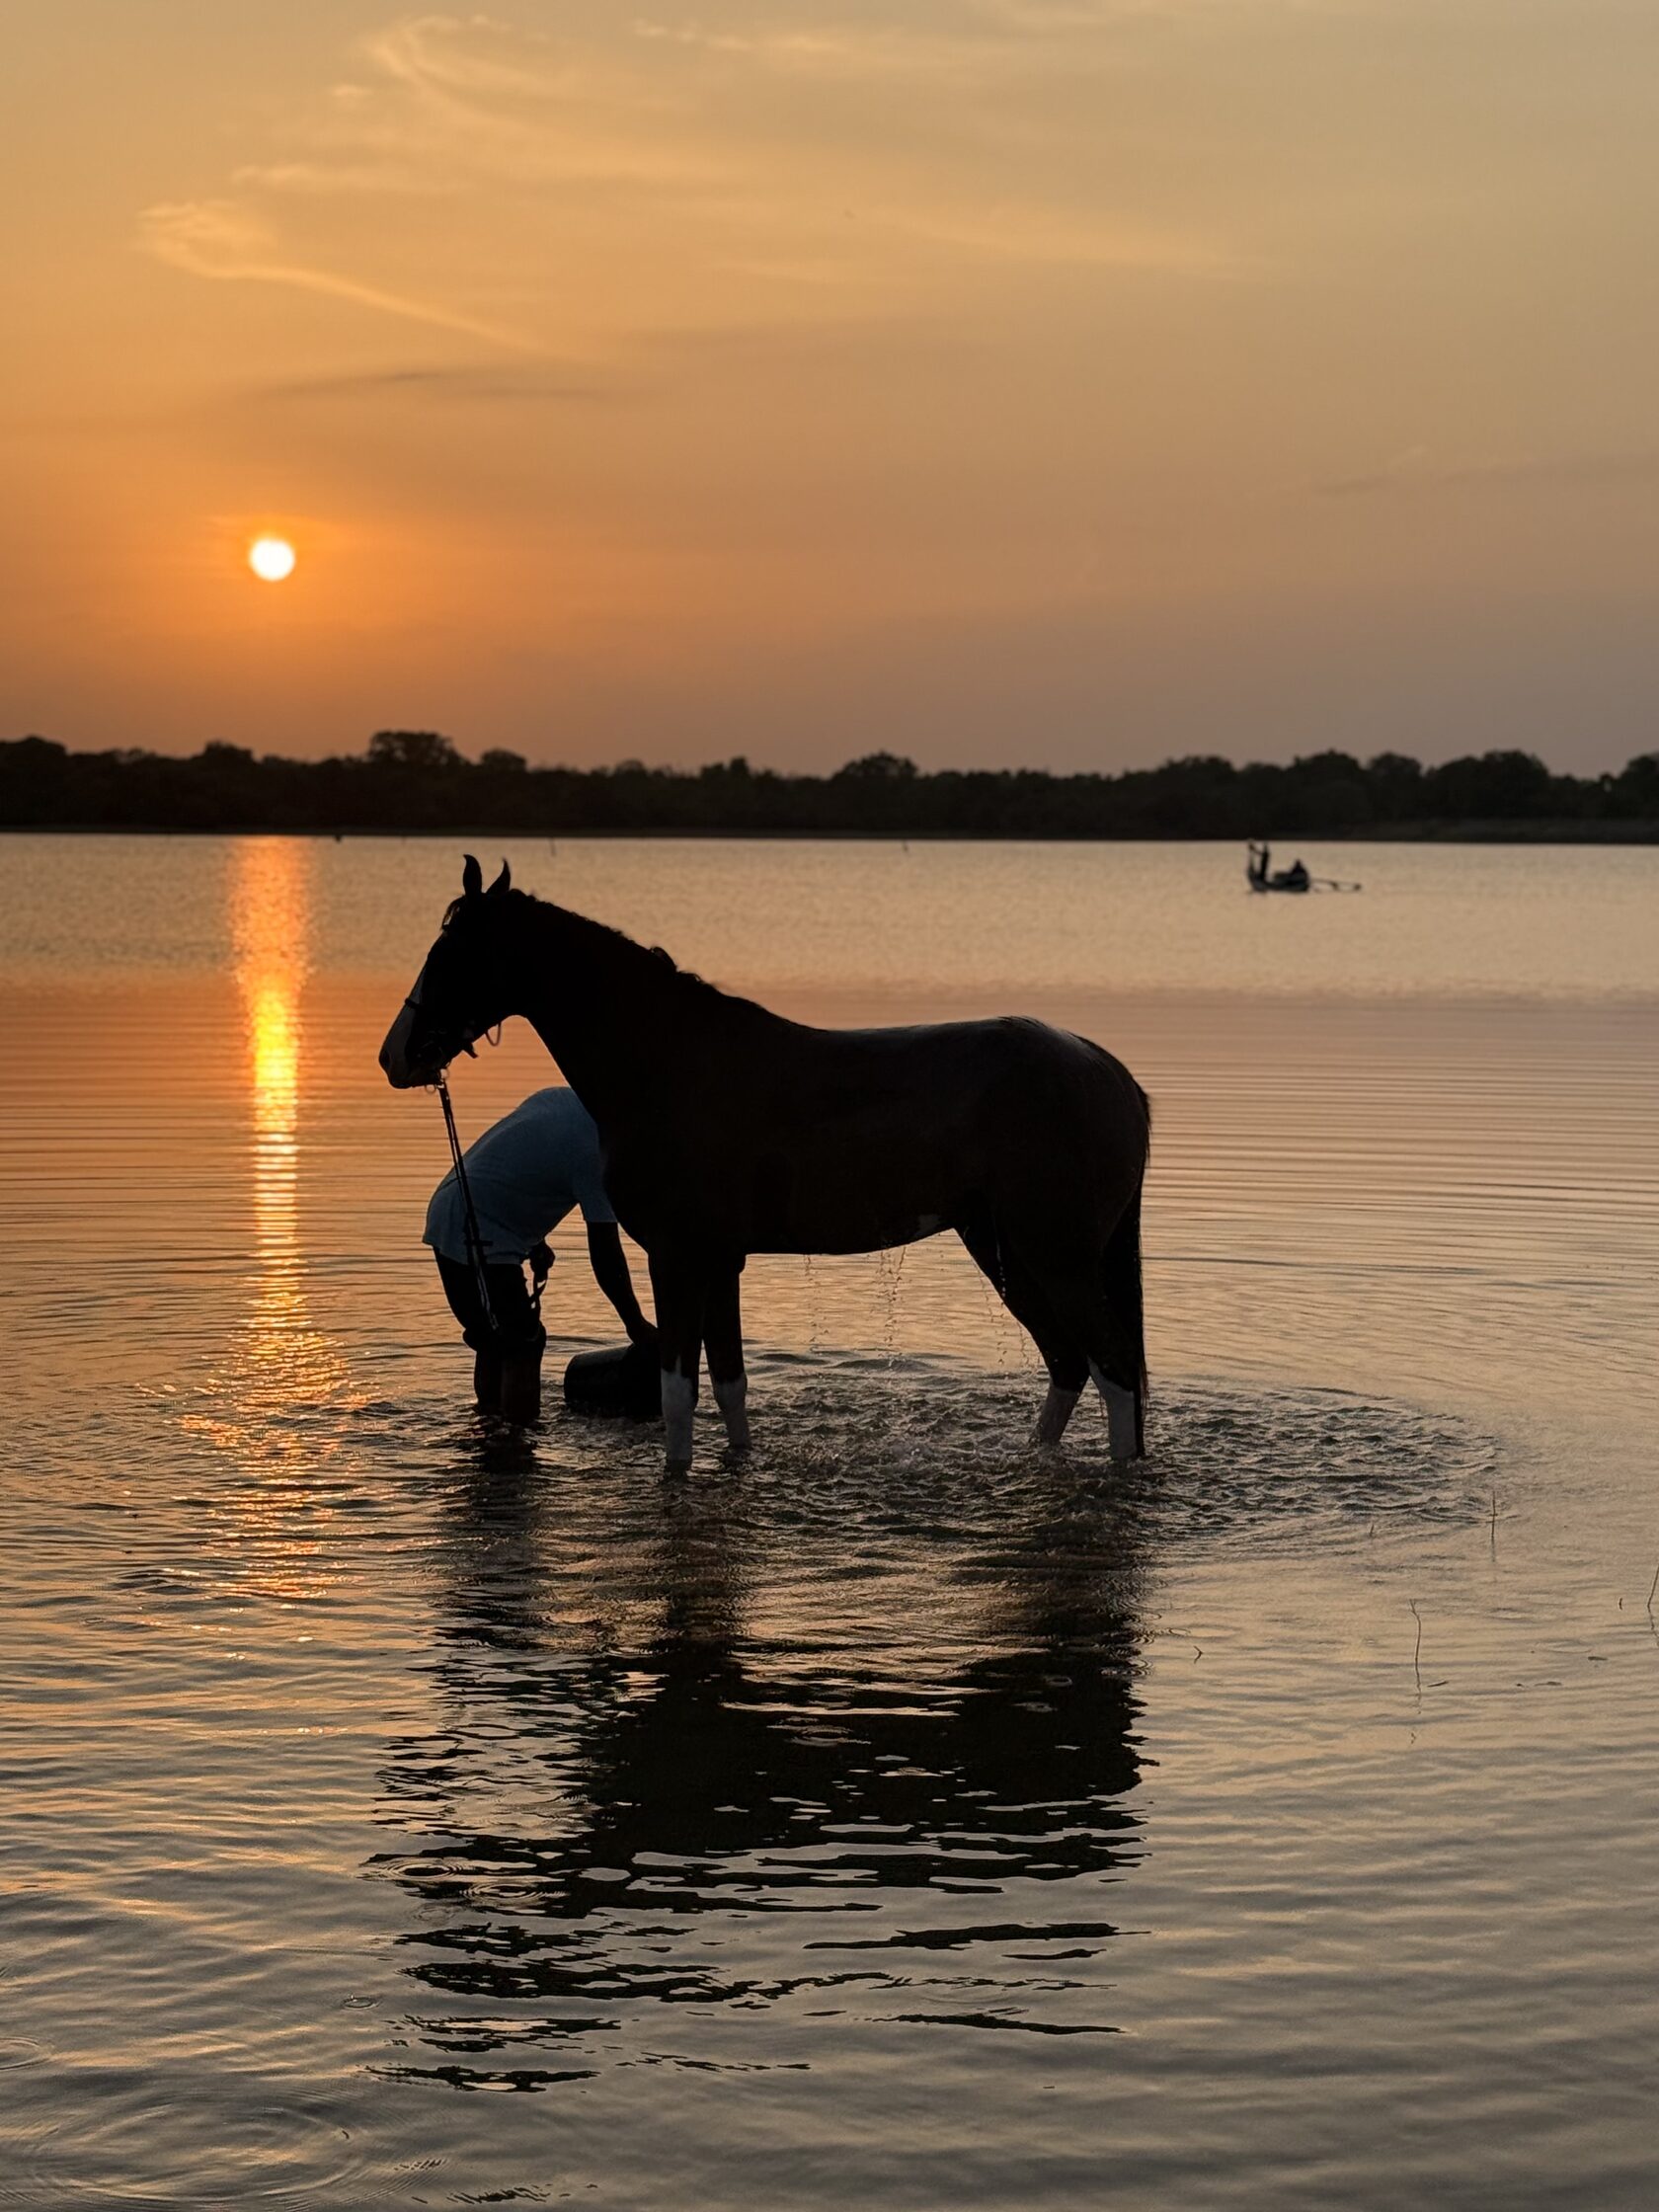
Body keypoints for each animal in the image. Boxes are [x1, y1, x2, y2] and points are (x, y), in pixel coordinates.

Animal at [380, 857, 1151, 1473]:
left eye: (449, 954)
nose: (395, 1056)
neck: (668, 1064)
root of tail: (1110, 1073)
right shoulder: (721, 1263)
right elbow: (729, 1387)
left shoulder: (676, 1257)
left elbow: (679, 1395)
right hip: (1006, 1252)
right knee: (1070, 1365)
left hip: (1054, 1259)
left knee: (1112, 1370)